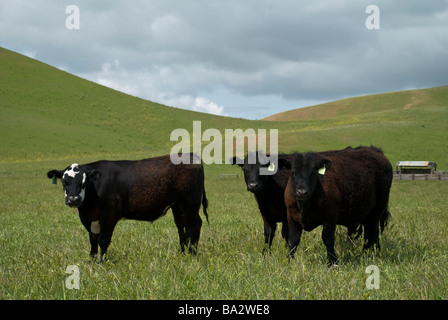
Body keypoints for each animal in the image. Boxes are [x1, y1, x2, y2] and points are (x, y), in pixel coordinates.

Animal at [48, 154, 209, 262]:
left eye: (84, 182)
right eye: (64, 181)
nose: (73, 199)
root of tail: (191, 156)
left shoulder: (109, 216)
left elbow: (103, 240)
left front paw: (101, 262)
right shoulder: (90, 220)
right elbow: (93, 240)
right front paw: (91, 261)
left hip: (190, 202)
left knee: (194, 226)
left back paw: (192, 255)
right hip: (178, 206)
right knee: (182, 228)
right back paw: (182, 254)